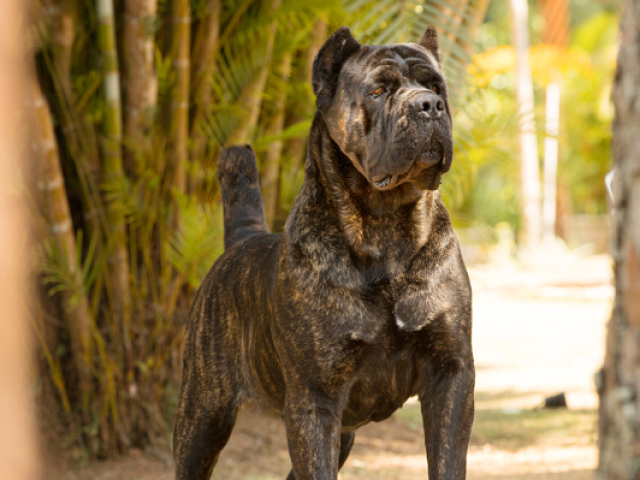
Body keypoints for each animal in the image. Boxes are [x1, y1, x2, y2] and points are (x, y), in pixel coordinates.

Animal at [172, 26, 472, 480]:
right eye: (378, 91)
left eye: (437, 88)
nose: (428, 105)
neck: (387, 230)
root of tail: (242, 240)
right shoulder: (315, 398)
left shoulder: (450, 376)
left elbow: (447, 460)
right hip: (204, 414)